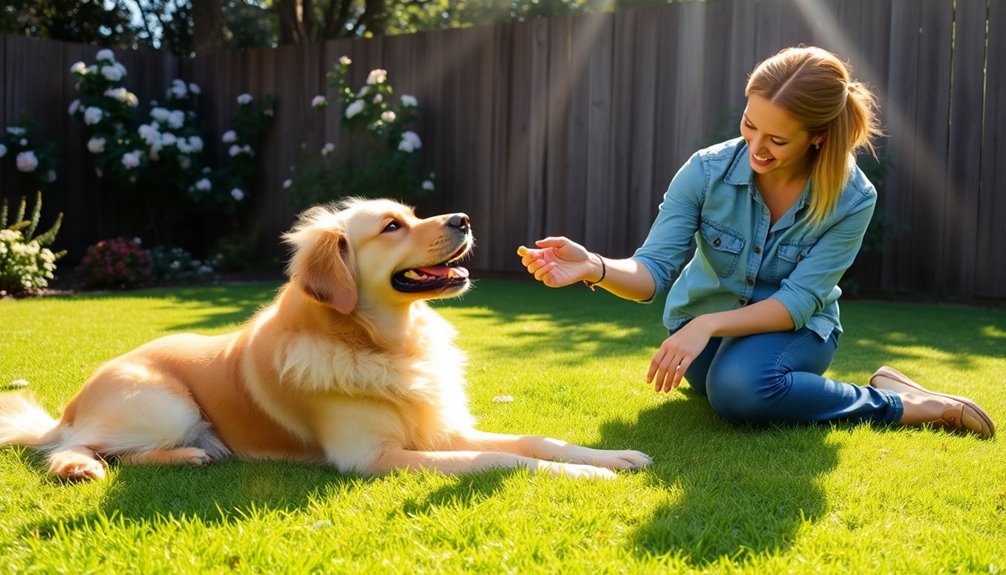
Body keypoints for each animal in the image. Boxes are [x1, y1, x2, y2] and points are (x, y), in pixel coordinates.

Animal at [0, 198, 651, 480]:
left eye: (413, 212)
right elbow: (500, 458)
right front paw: (591, 477)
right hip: (163, 403)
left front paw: (611, 457)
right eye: (392, 227)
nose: (463, 219)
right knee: (76, 449)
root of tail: (72, 405)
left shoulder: (440, 428)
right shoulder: (374, 458)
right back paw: (120, 461)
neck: (386, 343)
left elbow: (537, 438)